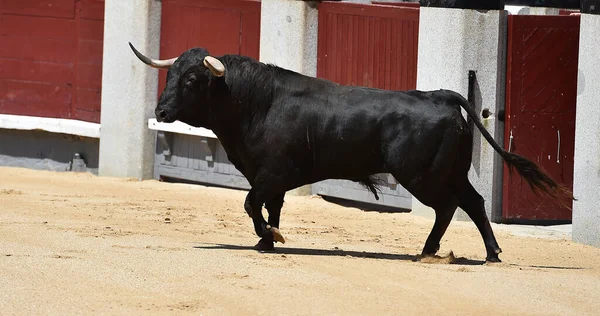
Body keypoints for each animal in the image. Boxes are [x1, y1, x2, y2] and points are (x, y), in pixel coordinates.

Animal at [130, 43, 572, 262]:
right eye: (170, 75)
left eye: (191, 79)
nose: (161, 112)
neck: (255, 102)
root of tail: (440, 96)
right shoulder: (271, 178)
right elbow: (270, 206)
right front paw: (266, 242)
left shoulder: (271, 174)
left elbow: (253, 204)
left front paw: (270, 236)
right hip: (448, 172)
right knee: (472, 203)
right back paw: (481, 252)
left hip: (424, 176)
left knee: (450, 206)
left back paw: (438, 251)